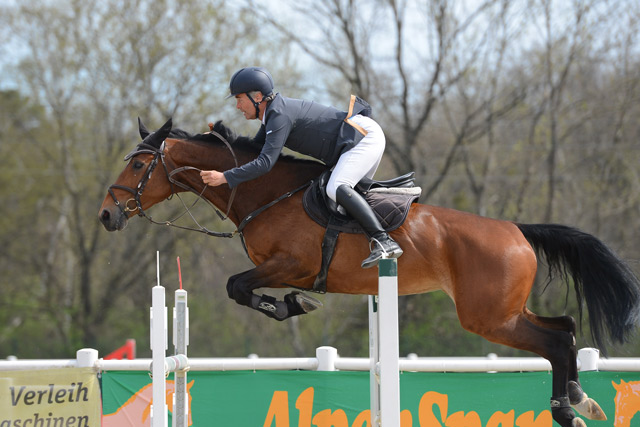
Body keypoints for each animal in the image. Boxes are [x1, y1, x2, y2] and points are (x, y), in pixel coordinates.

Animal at [100, 118, 640, 427]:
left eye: (139, 166)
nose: (106, 216)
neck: (264, 191)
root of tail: (516, 231)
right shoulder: (280, 267)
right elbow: (242, 289)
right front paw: (289, 304)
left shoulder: (290, 265)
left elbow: (239, 287)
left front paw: (293, 304)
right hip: (505, 311)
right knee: (564, 330)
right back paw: (579, 400)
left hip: (488, 318)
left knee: (555, 341)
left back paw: (570, 408)